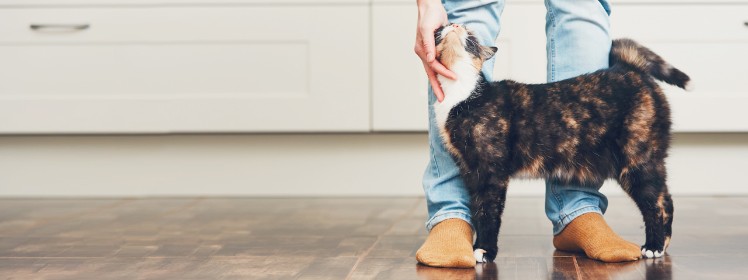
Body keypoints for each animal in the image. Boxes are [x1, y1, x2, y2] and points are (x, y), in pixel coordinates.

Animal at [432, 23, 688, 262]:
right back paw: (662, 244)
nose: (454, 25)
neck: (462, 94)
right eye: (441, 29)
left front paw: (485, 250)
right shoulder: (470, 171)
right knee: (665, 199)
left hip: (637, 161)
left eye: (471, 36)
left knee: (656, 204)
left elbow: (488, 212)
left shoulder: (491, 172)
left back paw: (654, 246)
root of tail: (629, 68)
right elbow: (477, 209)